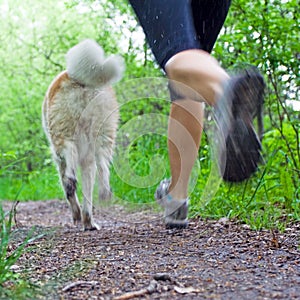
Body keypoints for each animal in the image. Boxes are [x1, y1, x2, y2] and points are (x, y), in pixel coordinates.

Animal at [42, 38, 124, 230]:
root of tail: (80, 79)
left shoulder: (59, 160)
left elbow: (69, 192)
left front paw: (77, 215)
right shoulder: (88, 161)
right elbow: (87, 192)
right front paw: (88, 221)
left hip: (63, 134)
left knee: (69, 164)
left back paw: (73, 181)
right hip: (105, 132)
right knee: (103, 167)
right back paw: (104, 193)